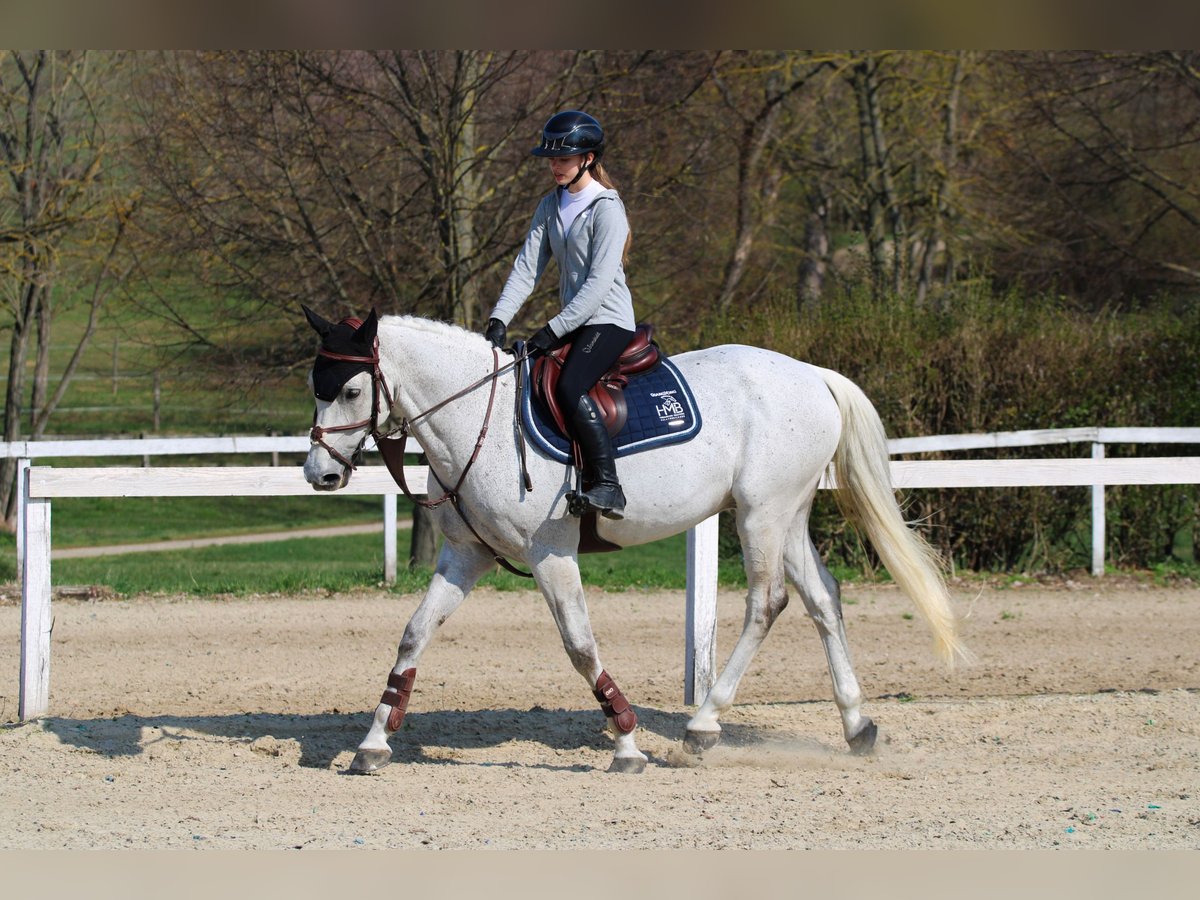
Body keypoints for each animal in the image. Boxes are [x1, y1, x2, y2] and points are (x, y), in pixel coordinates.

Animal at [300, 309, 964, 777]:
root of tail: (813, 375)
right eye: (317, 388)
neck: (475, 421)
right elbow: (413, 636)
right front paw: (373, 742)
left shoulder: (550, 555)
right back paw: (856, 725)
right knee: (823, 599)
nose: (319, 474)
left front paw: (625, 743)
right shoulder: (466, 556)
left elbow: (580, 646)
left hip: (761, 515)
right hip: (788, 516)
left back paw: (702, 728)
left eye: (351, 391)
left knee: (766, 603)